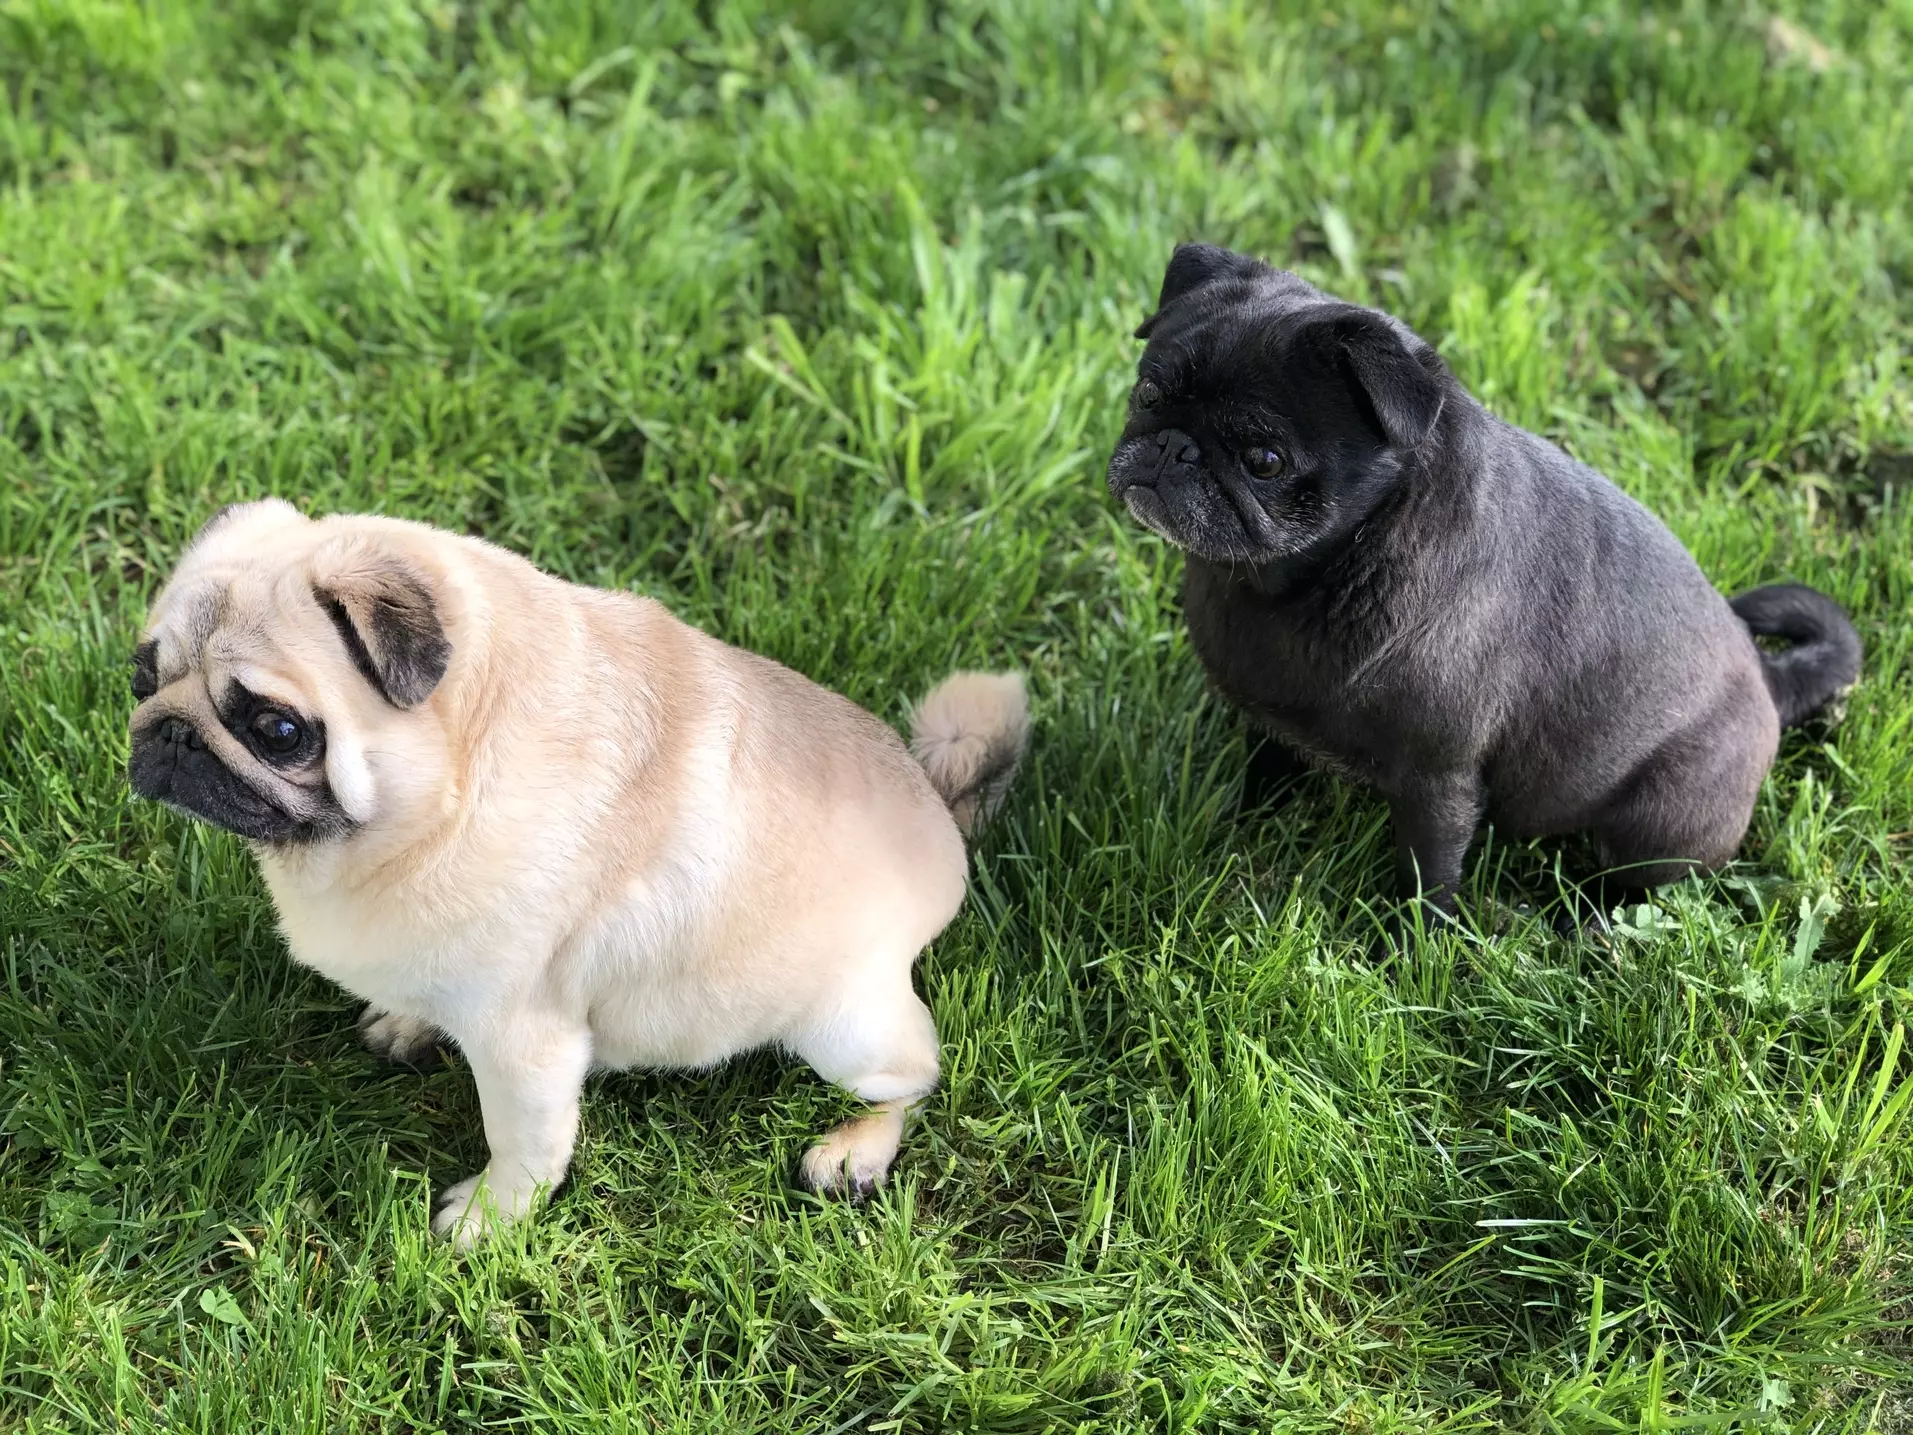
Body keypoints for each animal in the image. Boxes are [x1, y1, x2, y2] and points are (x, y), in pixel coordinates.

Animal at [131, 505, 1033, 1247]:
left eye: (278, 730)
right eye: (141, 675)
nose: (169, 732)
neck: (439, 796)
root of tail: (940, 818)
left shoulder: (524, 1043)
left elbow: (524, 1144)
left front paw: (490, 1219)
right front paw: (411, 1019)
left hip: (845, 1030)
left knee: (913, 1078)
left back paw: (854, 1150)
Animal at [1109, 244, 1867, 922]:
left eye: (1263, 460)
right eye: (1147, 393)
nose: (1172, 447)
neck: (1302, 577)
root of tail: (1769, 681)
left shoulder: (1437, 781)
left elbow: (1429, 876)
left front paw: (1410, 948)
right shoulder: (1271, 719)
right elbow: (1266, 767)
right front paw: (1240, 823)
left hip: (1659, 820)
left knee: (1639, 885)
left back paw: (1581, 918)